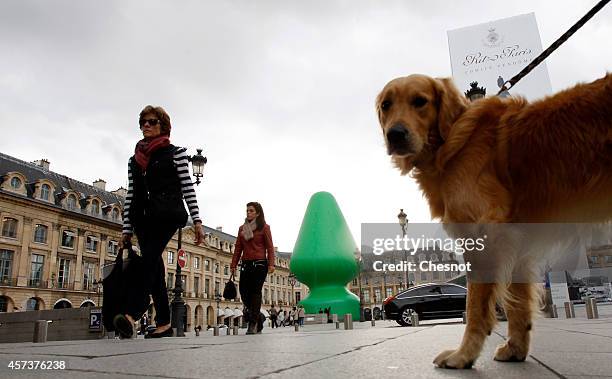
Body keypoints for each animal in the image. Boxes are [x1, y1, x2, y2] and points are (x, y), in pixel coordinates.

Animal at [376, 73, 608, 368]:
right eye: (386, 105)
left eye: (420, 101)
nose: (394, 134)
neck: (452, 141)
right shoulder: (519, 241)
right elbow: (518, 302)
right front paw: (515, 349)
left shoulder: (483, 232)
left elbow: (475, 306)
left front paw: (463, 355)